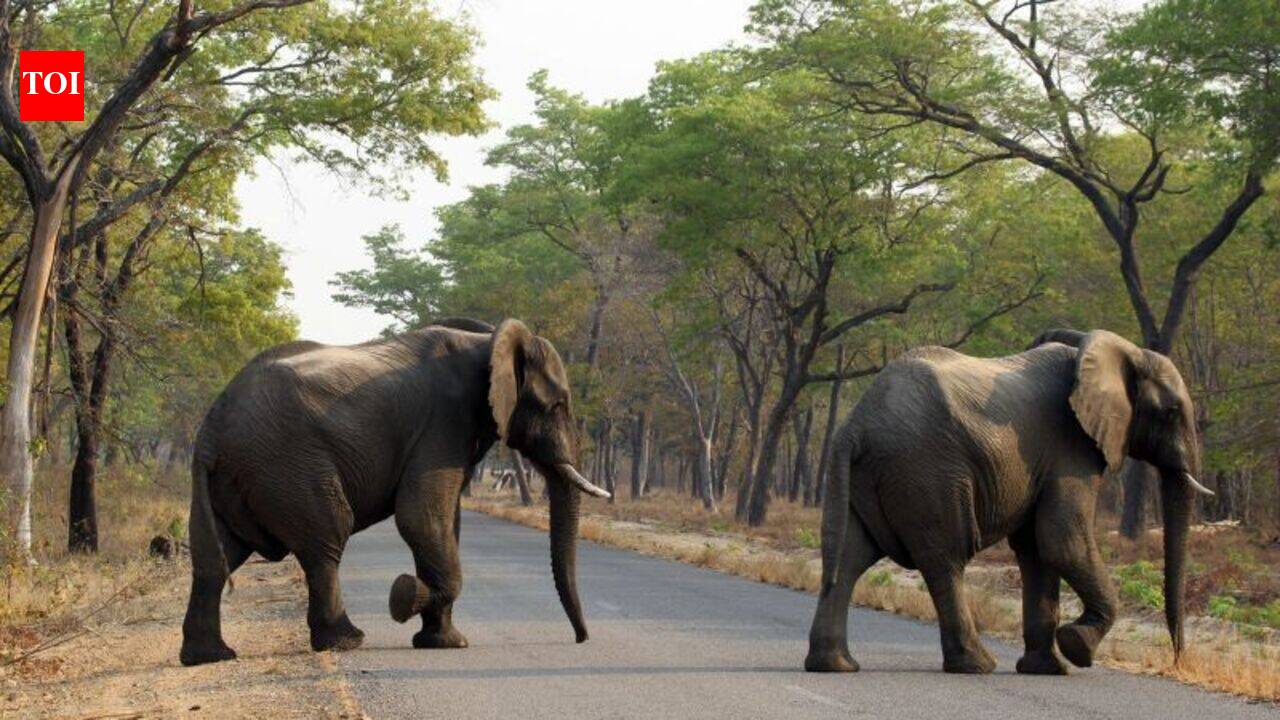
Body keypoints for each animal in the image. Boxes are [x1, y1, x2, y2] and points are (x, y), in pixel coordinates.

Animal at [179, 318, 610, 666]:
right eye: (557, 405)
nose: (581, 638)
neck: (487, 340)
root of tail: (211, 427)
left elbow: (444, 522)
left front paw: (444, 642)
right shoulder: (444, 422)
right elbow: (420, 518)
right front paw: (404, 597)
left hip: (236, 478)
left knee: (215, 558)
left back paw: (210, 656)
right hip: (287, 465)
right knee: (326, 539)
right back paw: (347, 641)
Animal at [804, 329, 1211, 675]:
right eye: (1171, 412)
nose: (1178, 659)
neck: (1113, 350)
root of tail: (856, 425)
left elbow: (1037, 549)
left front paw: (1047, 669)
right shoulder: (1070, 447)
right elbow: (1061, 540)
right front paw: (1077, 647)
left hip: (868, 475)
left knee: (848, 557)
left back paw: (835, 665)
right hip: (926, 471)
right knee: (945, 559)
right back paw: (977, 665)